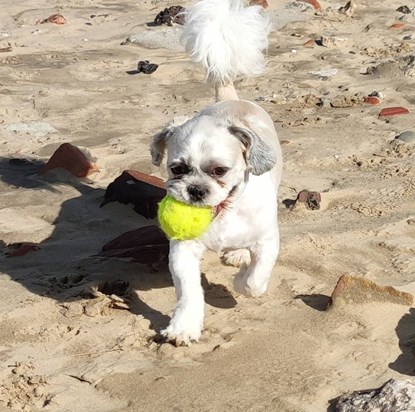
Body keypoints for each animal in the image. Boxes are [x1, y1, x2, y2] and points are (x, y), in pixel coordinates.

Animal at [151, 0, 284, 344]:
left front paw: (240, 281)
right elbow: (189, 292)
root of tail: (230, 99)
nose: (196, 190)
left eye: (220, 170)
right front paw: (184, 326)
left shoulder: (267, 241)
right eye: (177, 169)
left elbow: (255, 280)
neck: (224, 214)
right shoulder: (183, 251)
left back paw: (238, 257)